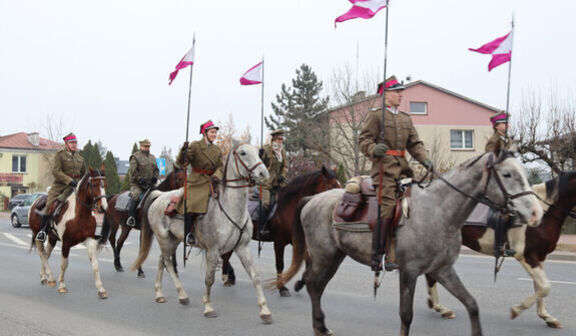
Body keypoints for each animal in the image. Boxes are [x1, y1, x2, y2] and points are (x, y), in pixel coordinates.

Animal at [27, 167, 109, 298]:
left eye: (105, 185)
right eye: (94, 185)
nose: (103, 208)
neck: (79, 214)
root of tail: (36, 201)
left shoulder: (90, 240)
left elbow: (95, 264)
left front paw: (101, 289)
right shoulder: (66, 243)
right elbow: (64, 264)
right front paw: (62, 285)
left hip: (52, 238)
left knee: (46, 254)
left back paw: (45, 276)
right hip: (37, 235)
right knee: (42, 254)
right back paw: (50, 277)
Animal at [131, 144, 274, 322]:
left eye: (258, 152)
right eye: (243, 153)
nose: (263, 173)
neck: (232, 208)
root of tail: (160, 196)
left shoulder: (243, 247)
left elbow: (255, 276)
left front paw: (265, 310)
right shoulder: (213, 250)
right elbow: (209, 279)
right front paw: (208, 307)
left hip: (173, 240)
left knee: (162, 260)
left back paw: (159, 294)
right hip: (162, 238)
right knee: (168, 263)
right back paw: (182, 295)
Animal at [219, 167, 340, 296]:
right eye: (331, 185)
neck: (289, 206)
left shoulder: (295, 241)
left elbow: (307, 261)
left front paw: (299, 284)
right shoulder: (279, 242)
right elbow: (280, 264)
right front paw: (282, 288)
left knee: (226, 255)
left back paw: (228, 276)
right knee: (225, 255)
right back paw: (227, 278)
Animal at [276, 150, 544, 336]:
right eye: (507, 174)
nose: (535, 213)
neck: (437, 212)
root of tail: (312, 199)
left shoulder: (443, 270)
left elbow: (472, 304)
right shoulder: (409, 271)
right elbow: (406, 315)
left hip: (335, 257)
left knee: (317, 285)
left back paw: (320, 325)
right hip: (324, 256)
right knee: (313, 284)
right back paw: (318, 325)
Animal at [426, 172, 576, 330]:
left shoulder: (540, 257)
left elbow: (540, 288)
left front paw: (547, 317)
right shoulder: (526, 256)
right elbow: (544, 287)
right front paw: (517, 310)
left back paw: (439, 307)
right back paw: (441, 308)